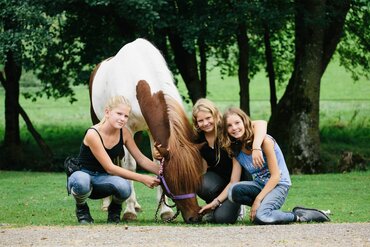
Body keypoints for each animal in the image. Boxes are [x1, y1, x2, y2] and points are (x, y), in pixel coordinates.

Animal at [88, 37, 204, 223]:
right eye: (175, 181)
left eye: (197, 177)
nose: (195, 217)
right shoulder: (126, 128)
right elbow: (130, 166)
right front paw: (128, 212)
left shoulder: (150, 131)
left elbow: (156, 164)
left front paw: (165, 211)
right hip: (100, 123)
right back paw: (108, 203)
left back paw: (134, 204)